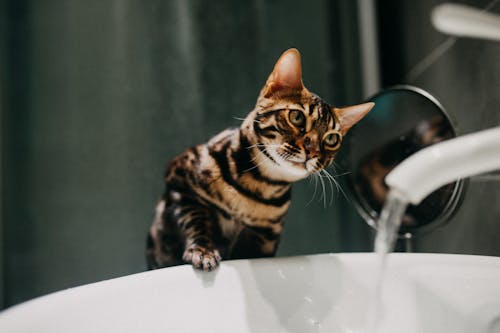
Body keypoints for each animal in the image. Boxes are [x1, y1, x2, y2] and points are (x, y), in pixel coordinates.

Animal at [146, 48, 374, 270]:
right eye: (297, 117)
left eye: (331, 139)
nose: (312, 152)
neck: (260, 184)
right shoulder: (179, 182)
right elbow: (196, 220)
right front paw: (203, 251)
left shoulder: (265, 236)